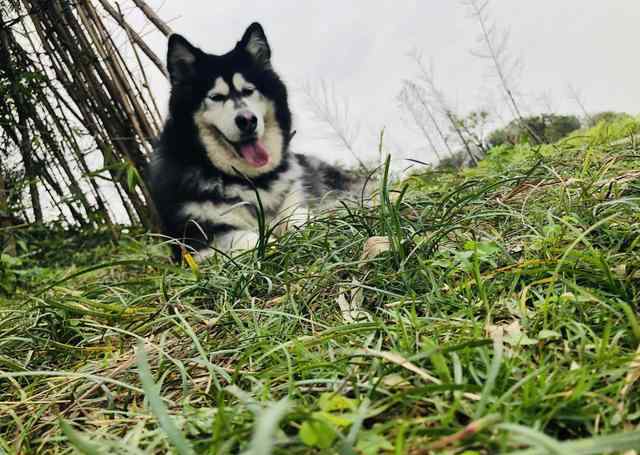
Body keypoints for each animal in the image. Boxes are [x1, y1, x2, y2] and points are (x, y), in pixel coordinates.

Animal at [147, 23, 362, 262]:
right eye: (216, 97)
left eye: (248, 91)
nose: (247, 120)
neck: (249, 179)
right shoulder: (196, 243)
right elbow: (247, 239)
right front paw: (273, 245)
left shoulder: (295, 199)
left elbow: (299, 218)